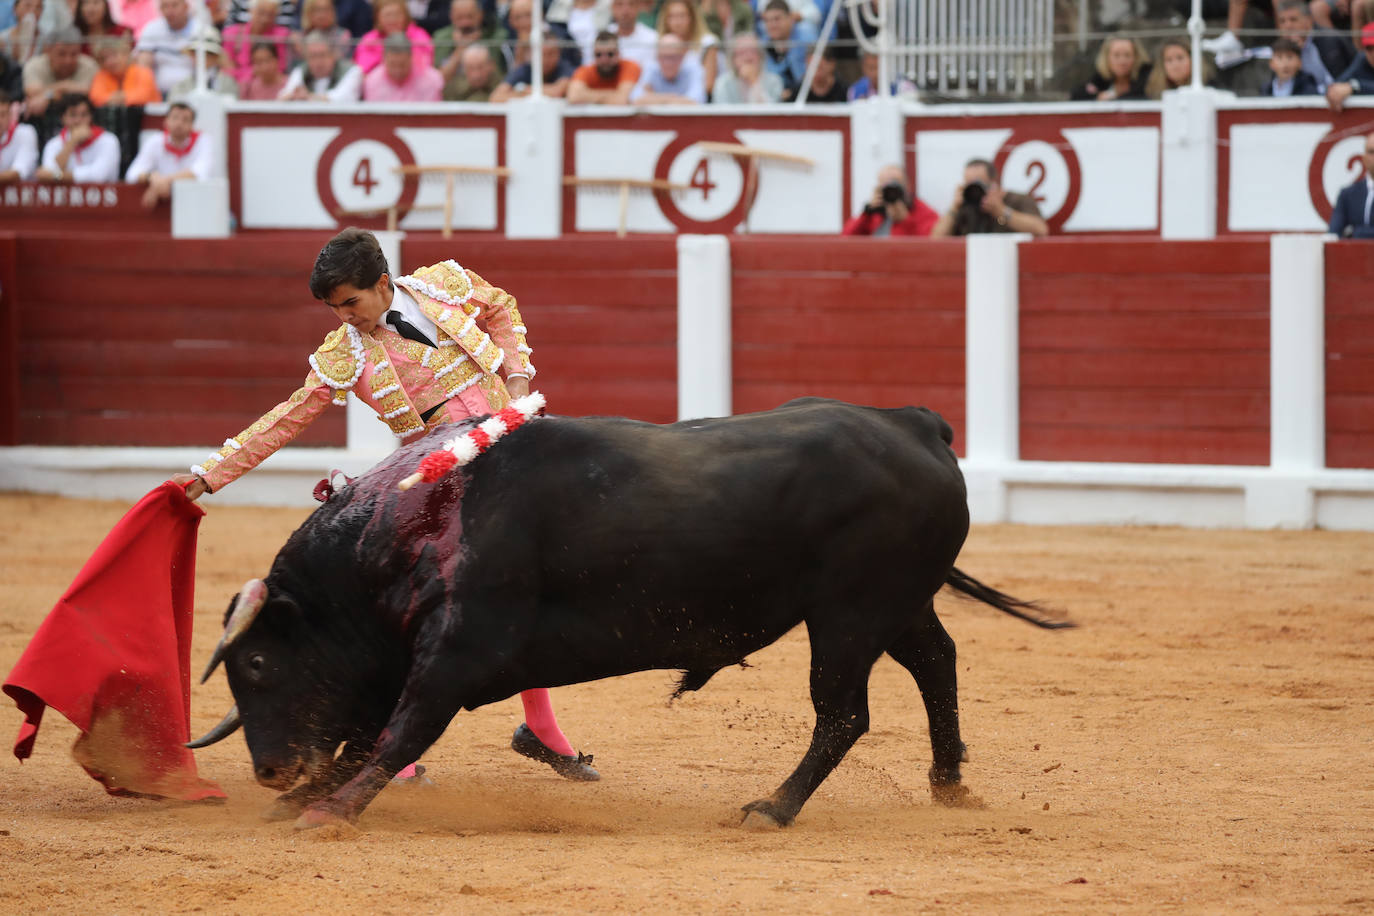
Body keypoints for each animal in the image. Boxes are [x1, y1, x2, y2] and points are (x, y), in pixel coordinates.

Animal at [193, 398, 1066, 829]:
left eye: (259, 663)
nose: (270, 768)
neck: (422, 520)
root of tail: (914, 425)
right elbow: (369, 731)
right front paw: (305, 798)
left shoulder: (460, 650)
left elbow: (399, 728)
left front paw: (326, 811)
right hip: (895, 603)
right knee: (936, 663)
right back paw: (949, 783)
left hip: (851, 614)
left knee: (844, 713)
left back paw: (772, 809)